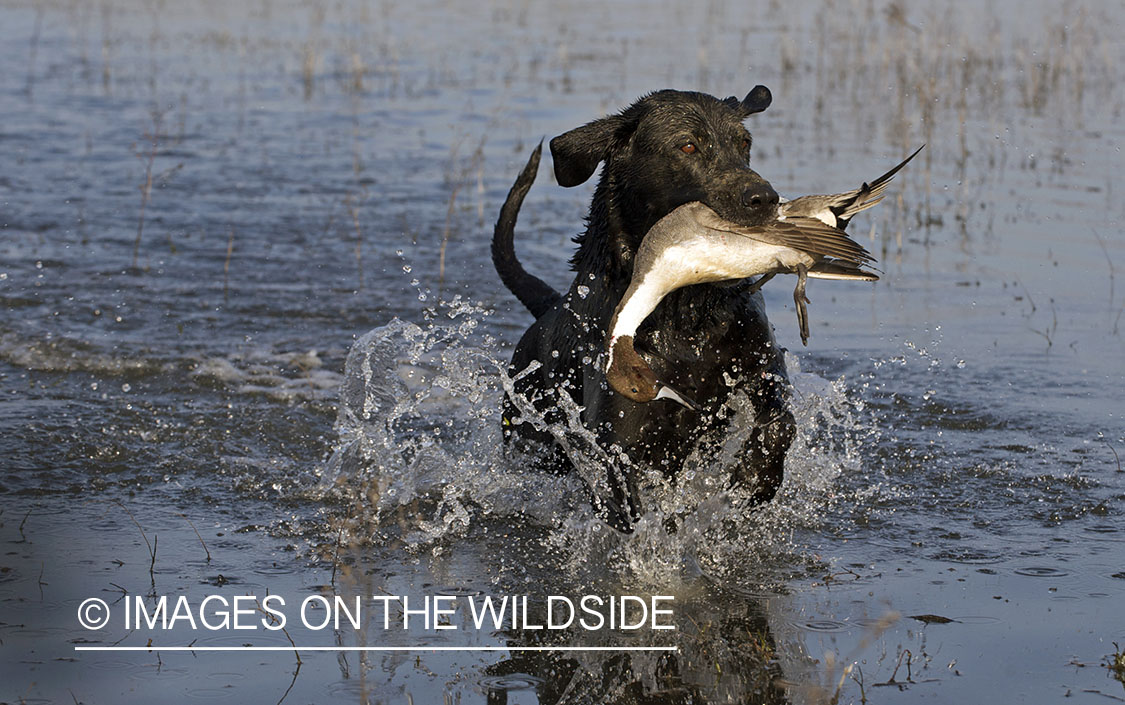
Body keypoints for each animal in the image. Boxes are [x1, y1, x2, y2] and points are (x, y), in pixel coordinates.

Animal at [495, 87, 801, 530]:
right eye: (688, 145)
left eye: (744, 143)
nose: (764, 198)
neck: (685, 314)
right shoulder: (618, 433)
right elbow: (629, 504)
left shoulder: (762, 365)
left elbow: (780, 422)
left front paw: (754, 480)